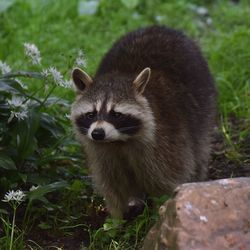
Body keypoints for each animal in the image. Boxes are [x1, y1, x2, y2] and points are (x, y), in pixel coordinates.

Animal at [71, 25, 217, 219]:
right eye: (91, 114)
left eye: (116, 114)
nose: (97, 133)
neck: (119, 141)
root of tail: (160, 27)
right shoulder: (102, 154)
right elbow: (112, 187)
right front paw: (117, 219)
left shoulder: (166, 143)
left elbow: (166, 183)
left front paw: (159, 216)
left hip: (204, 107)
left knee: (199, 150)